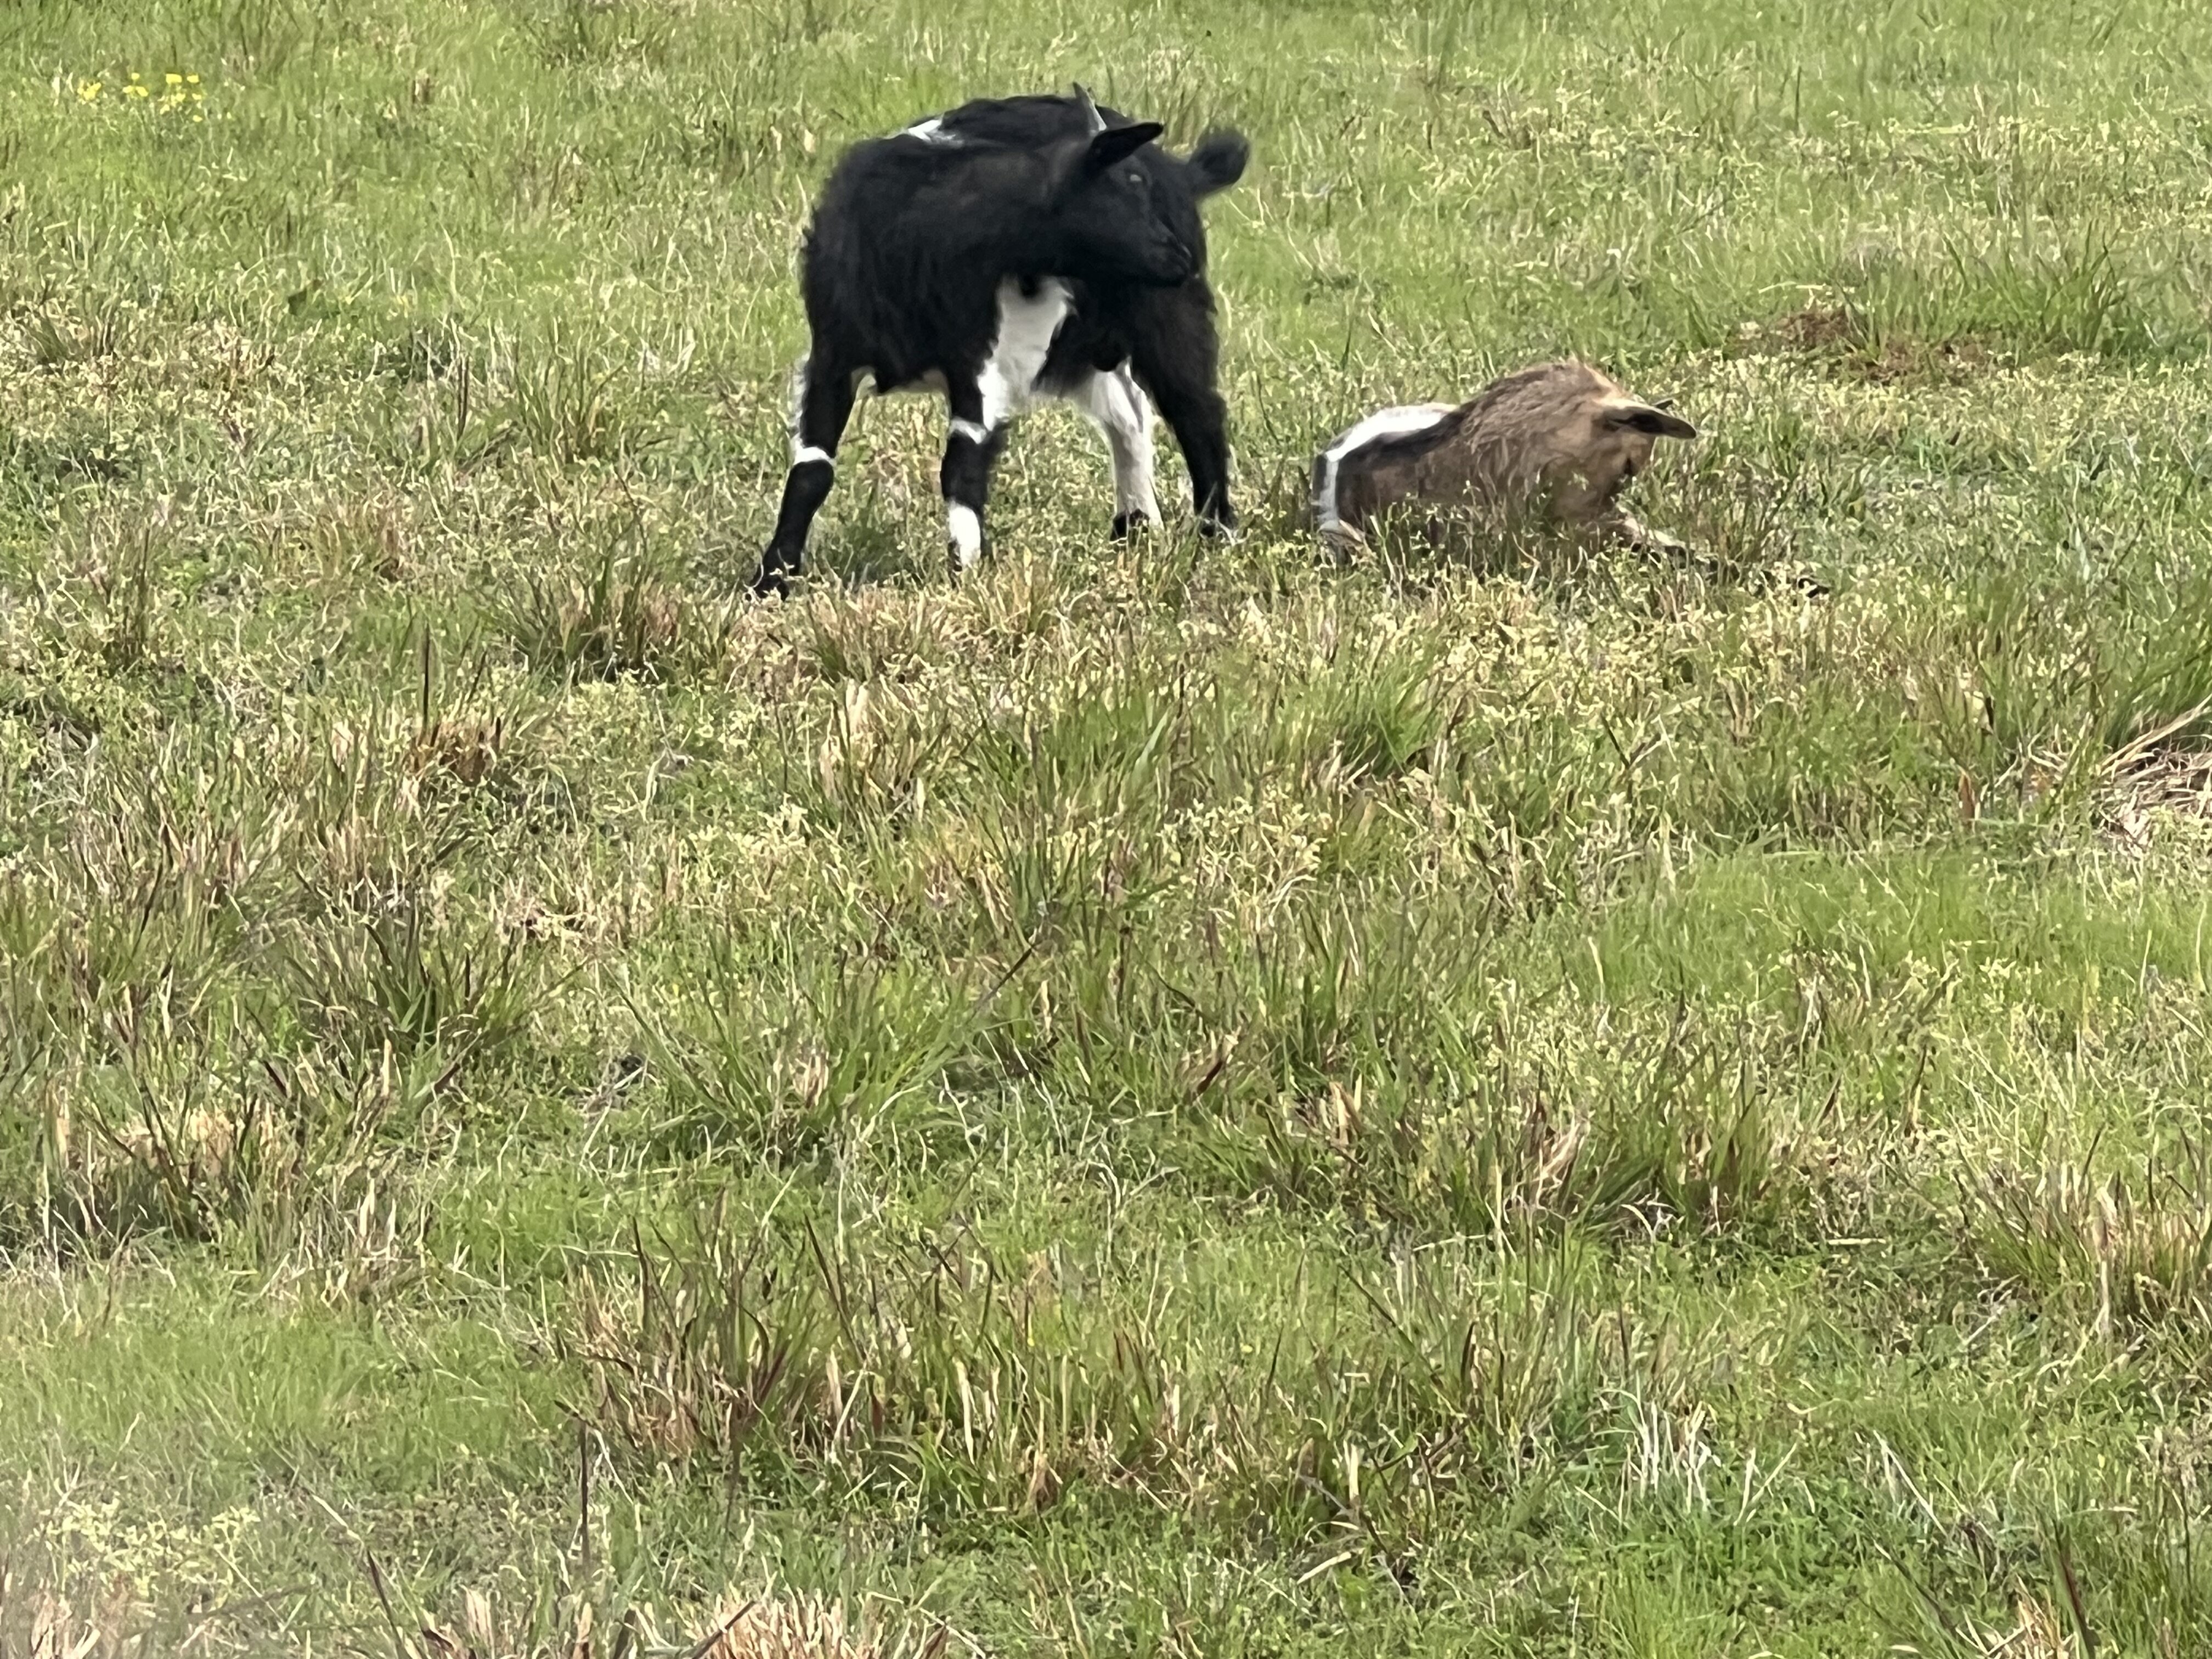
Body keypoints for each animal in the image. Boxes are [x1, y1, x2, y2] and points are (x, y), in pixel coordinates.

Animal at [753, 87, 1249, 595]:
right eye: (1128, 183)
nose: (1180, 258)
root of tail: (1184, 173)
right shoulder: (834, 356)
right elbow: (813, 471)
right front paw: (770, 579)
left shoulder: (980, 363)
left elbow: (962, 462)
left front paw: (965, 571)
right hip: (1085, 348)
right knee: (1129, 415)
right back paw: (1135, 528)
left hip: (1165, 317)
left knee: (1197, 413)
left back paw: (1215, 533)